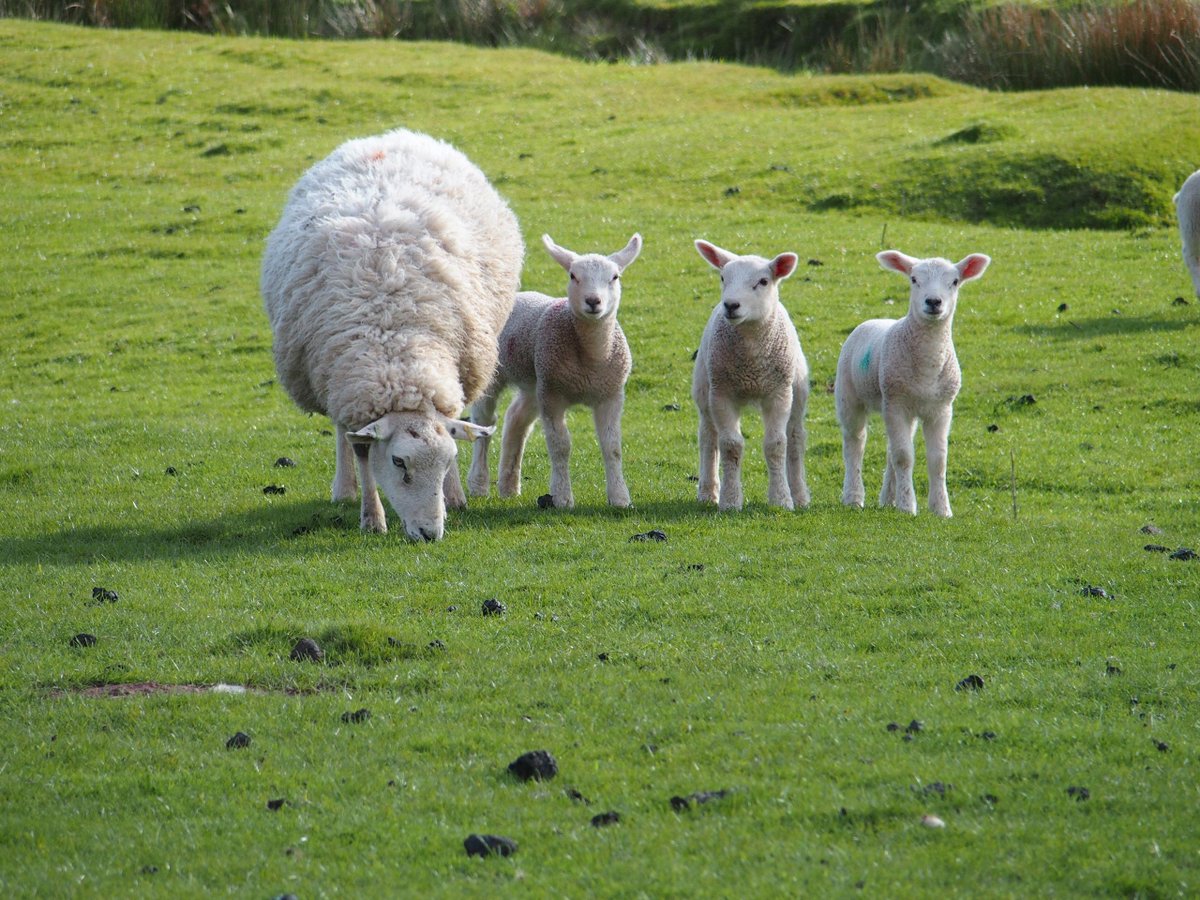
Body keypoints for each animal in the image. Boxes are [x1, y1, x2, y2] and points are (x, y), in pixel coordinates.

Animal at [261, 128, 524, 540]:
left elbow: (451, 427)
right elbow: (361, 451)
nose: (430, 534)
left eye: (447, 461)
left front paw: (456, 496)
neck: (396, 351)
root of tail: (388, 137)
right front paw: (372, 516)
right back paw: (344, 489)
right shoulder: (356, 389)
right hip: (334, 377)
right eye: (399, 462)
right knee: (343, 434)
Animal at [467, 233, 642, 508]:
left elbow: (612, 446)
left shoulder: (610, 394)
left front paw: (620, 497)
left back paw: (508, 486)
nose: (593, 301)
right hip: (499, 376)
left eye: (615, 277)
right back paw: (478, 484)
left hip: (535, 381)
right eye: (573, 275)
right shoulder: (553, 396)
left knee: (516, 418)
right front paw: (562, 496)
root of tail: (517, 296)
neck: (591, 358)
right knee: (484, 422)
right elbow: (560, 445)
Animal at [691, 239, 810, 512]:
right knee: (708, 437)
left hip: (797, 394)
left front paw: (781, 499)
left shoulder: (779, 393)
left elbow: (776, 445)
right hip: (704, 390)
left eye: (763, 281)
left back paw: (800, 495)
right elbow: (730, 445)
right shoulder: (721, 393)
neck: (751, 363)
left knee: (795, 438)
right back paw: (708, 492)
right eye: (723, 277)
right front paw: (730, 501)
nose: (731, 305)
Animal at [835, 249, 991, 518]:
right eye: (914, 279)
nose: (933, 302)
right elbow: (904, 457)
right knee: (855, 443)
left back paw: (888, 499)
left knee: (890, 448)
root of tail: (873, 321)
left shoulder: (941, 409)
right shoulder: (896, 403)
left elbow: (938, 460)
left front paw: (941, 509)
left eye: (955, 281)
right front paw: (908, 506)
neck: (928, 364)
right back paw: (854, 497)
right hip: (850, 396)